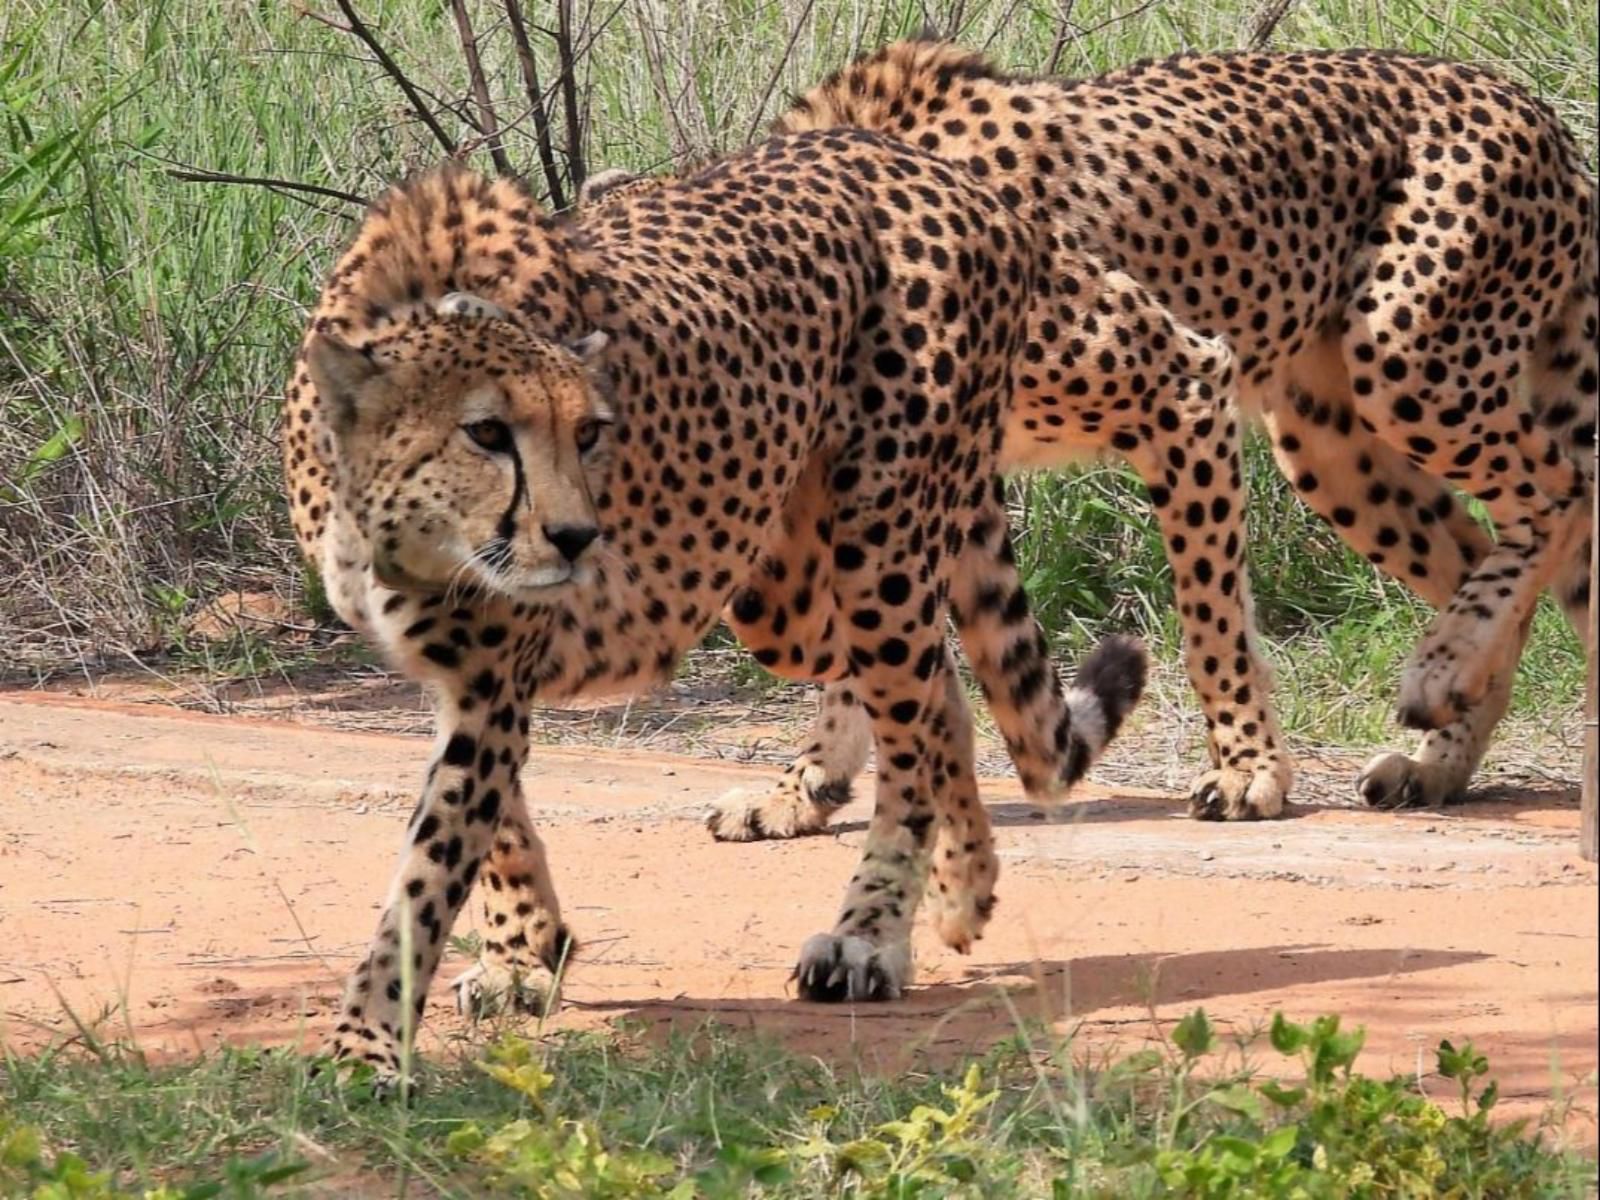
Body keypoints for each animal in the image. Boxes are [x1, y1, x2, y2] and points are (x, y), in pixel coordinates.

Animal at [281, 129, 1152, 1081]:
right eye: (485, 432)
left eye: (590, 431)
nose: (579, 536)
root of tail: (914, 157)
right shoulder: (456, 669)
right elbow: (496, 820)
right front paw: (522, 953)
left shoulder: (492, 672)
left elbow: (430, 870)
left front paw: (366, 1044)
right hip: (789, 589)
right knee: (934, 695)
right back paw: (964, 887)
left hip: (874, 544)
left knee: (914, 718)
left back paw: (871, 937)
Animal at [662, 37, 1587, 838]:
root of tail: (1528, 103)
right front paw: (803, 786)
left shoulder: (1183, 380)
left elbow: (1211, 617)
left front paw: (1250, 770)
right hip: (1330, 442)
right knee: (1486, 554)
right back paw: (1439, 750)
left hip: (1409, 365)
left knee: (1565, 488)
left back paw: (1441, 669)